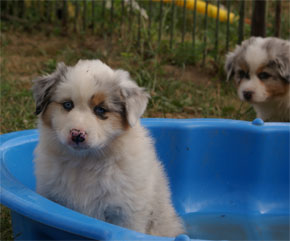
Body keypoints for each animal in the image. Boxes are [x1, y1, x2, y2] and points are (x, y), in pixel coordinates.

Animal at [31, 59, 185, 236]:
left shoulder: (126, 213)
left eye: (100, 109)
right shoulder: (50, 195)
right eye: (67, 104)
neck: (84, 161)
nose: (77, 135)